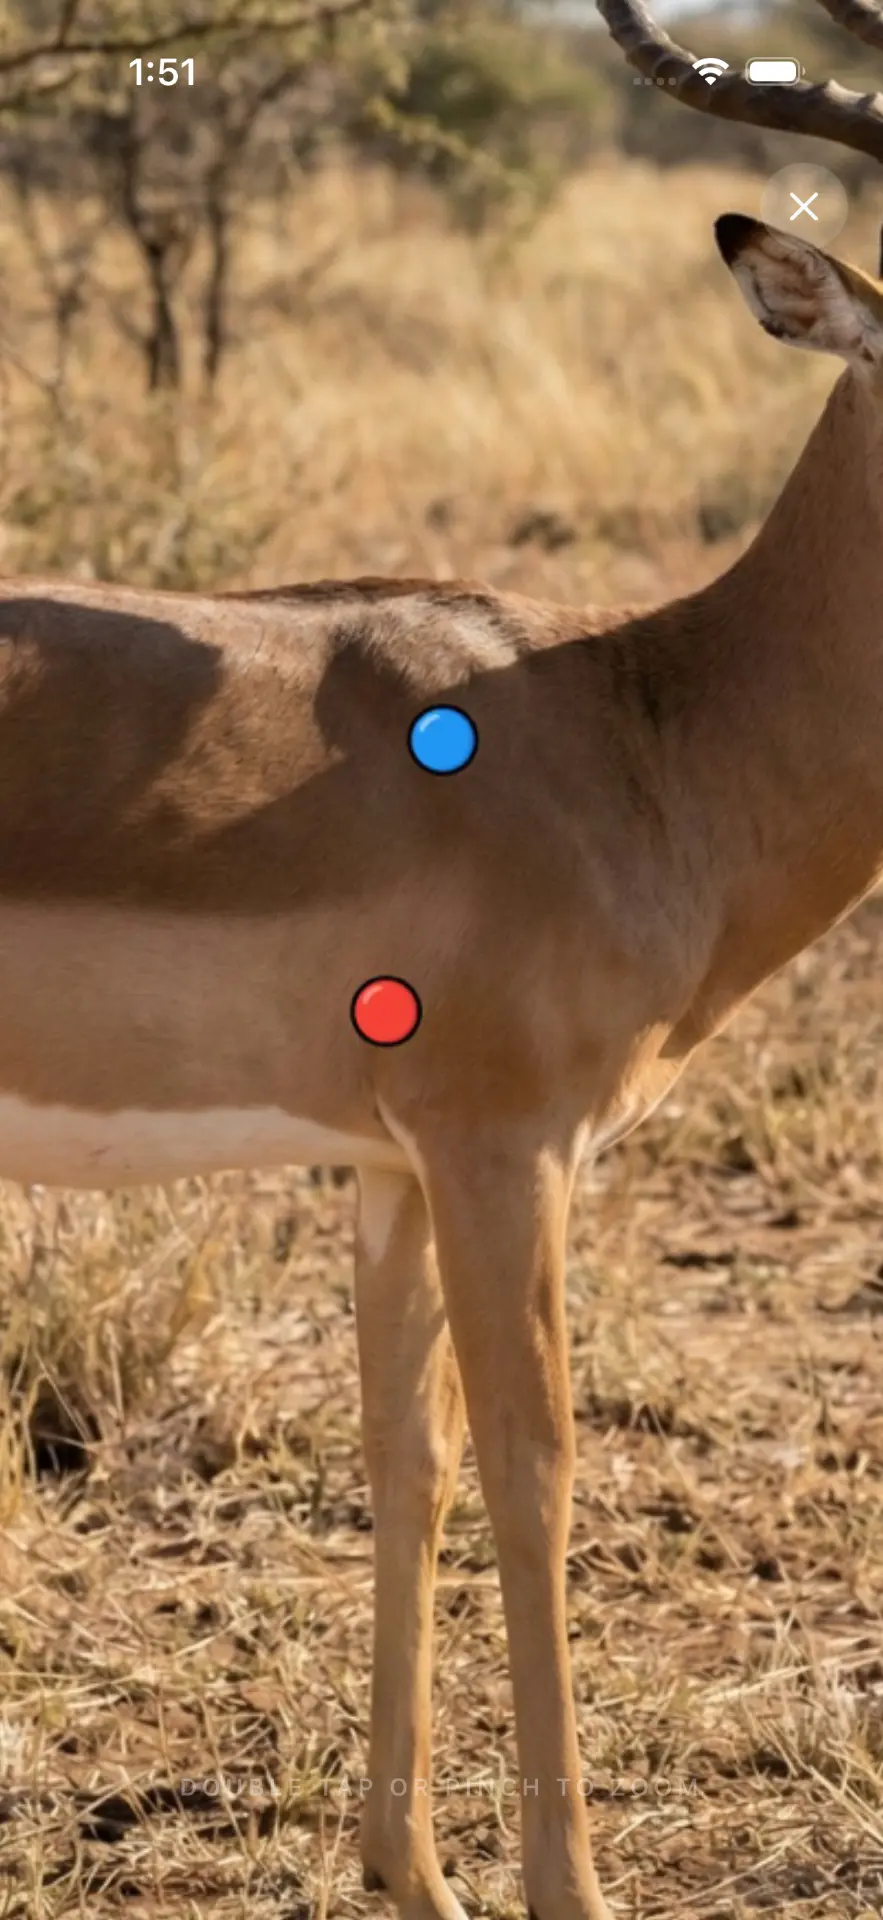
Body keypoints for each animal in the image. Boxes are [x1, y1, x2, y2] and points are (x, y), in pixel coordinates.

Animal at [4, 1, 883, 1915]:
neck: (649, 729)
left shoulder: (385, 1167)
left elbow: (401, 1461)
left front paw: (411, 1871)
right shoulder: (506, 1149)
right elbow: (534, 1470)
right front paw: (574, 1890)